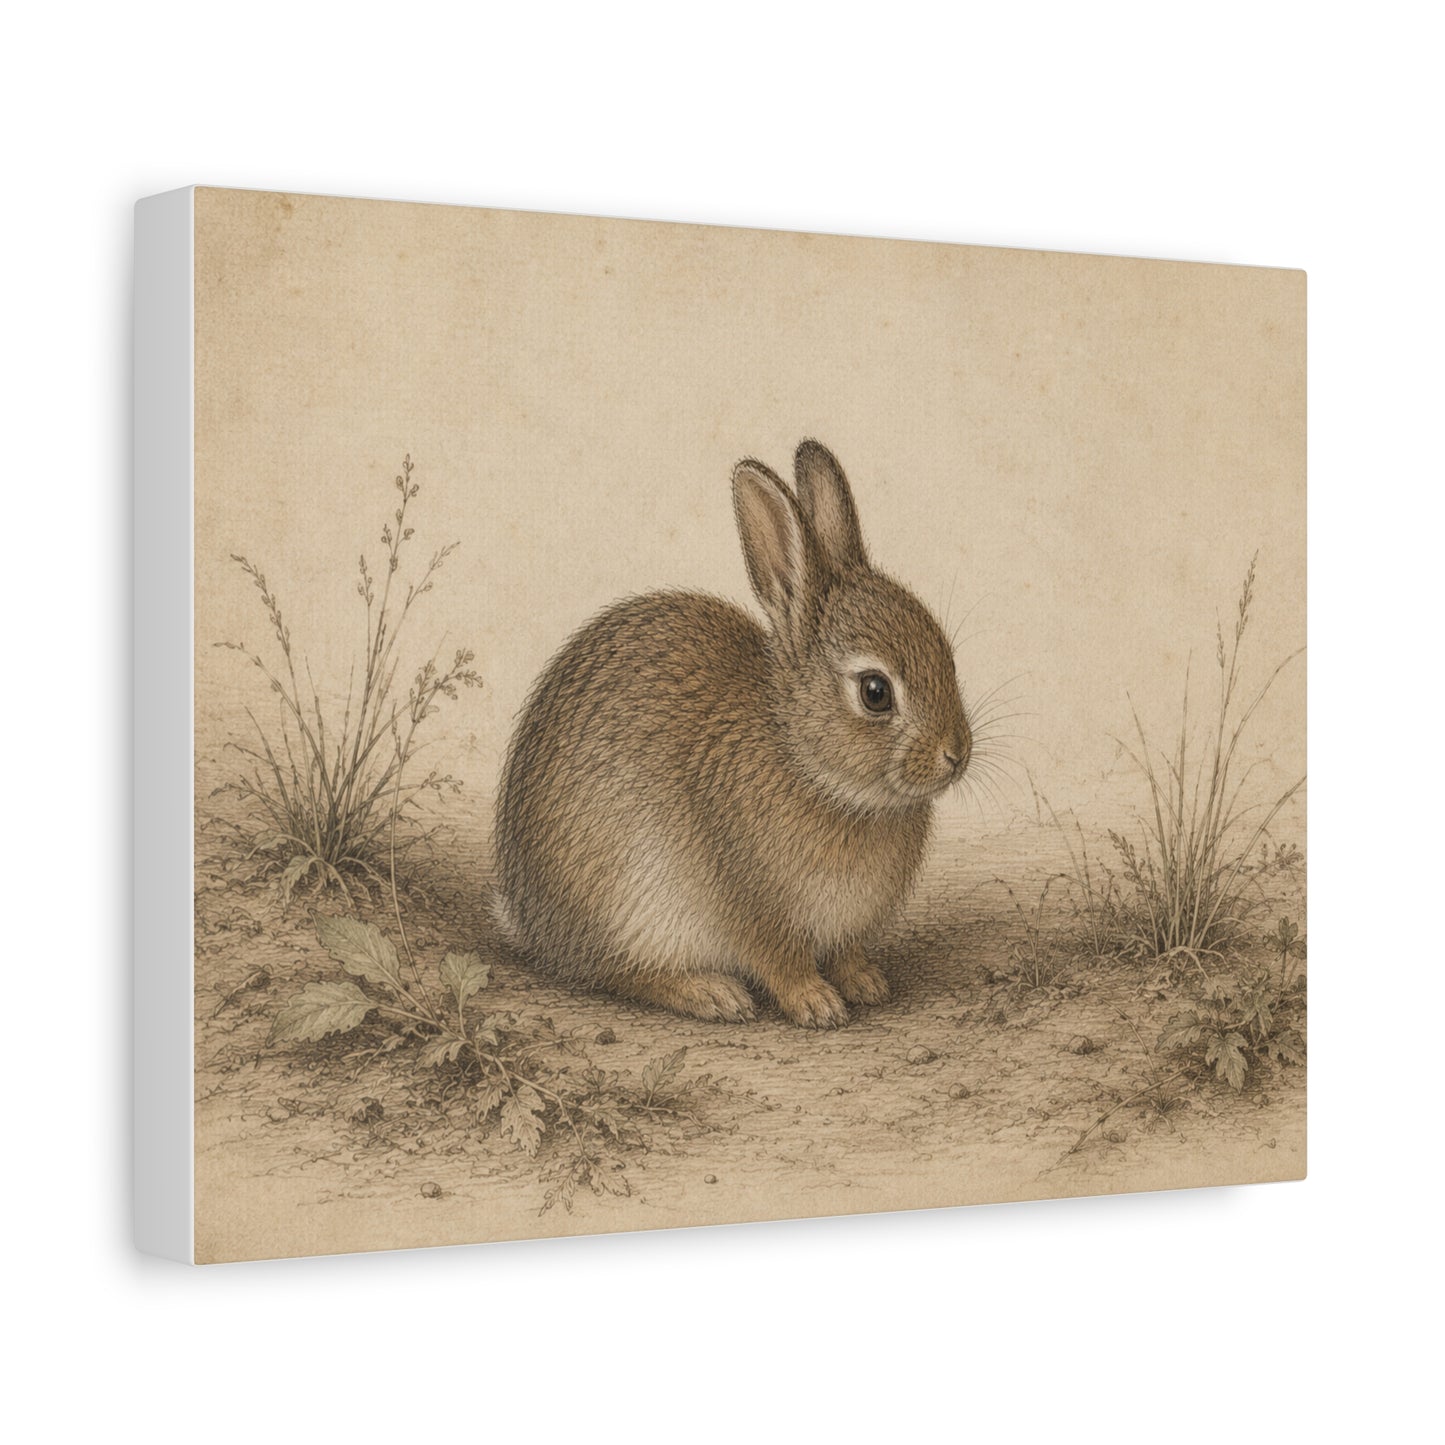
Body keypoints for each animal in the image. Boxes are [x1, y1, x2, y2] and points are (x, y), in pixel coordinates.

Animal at [491, 439, 971, 1028]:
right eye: (875, 692)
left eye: (947, 655)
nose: (956, 754)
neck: (806, 760)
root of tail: (527, 918)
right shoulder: (753, 907)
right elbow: (782, 962)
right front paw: (817, 1005)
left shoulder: (842, 930)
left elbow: (845, 953)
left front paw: (866, 983)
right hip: (623, 904)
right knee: (616, 973)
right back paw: (711, 993)